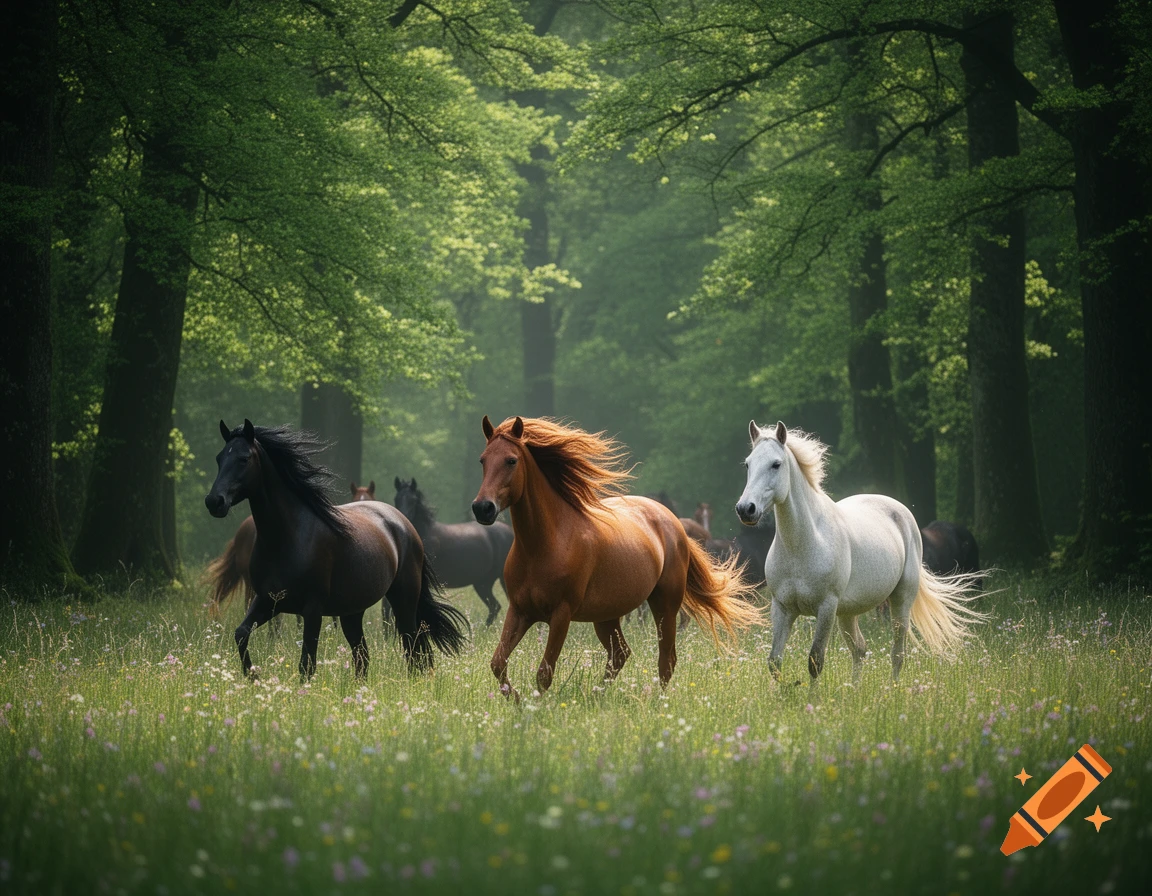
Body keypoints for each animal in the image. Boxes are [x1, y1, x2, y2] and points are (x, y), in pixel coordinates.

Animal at [205, 420, 467, 680]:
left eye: (244, 458)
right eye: (219, 458)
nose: (214, 501)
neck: (288, 538)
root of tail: (404, 524)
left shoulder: (312, 608)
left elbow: (306, 664)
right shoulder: (266, 601)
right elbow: (241, 633)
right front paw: (253, 676)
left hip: (403, 600)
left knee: (412, 650)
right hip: (352, 612)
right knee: (363, 657)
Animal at [471, 416, 761, 699]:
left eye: (511, 460)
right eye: (482, 460)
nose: (482, 508)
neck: (544, 545)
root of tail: (674, 523)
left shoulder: (561, 614)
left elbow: (544, 673)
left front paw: (534, 708)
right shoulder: (519, 610)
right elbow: (498, 664)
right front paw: (518, 701)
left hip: (665, 604)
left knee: (666, 660)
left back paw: (656, 702)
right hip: (606, 614)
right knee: (620, 655)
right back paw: (597, 696)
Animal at [736, 420, 985, 686]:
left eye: (776, 464)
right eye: (748, 464)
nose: (746, 509)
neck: (803, 545)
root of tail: (901, 512)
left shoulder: (826, 608)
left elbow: (815, 661)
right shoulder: (782, 608)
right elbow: (774, 662)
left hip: (900, 600)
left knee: (897, 653)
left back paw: (892, 689)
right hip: (848, 612)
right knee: (860, 649)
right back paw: (855, 689)